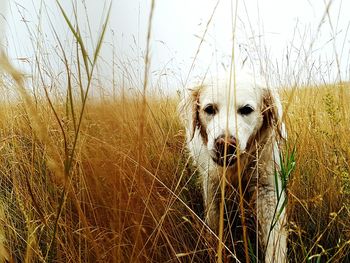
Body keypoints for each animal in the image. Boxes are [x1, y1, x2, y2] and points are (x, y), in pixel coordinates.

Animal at [179, 81, 288, 263]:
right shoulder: (213, 188)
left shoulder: (268, 188)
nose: (225, 144)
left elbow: (275, 240)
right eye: (209, 109)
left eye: (246, 109)